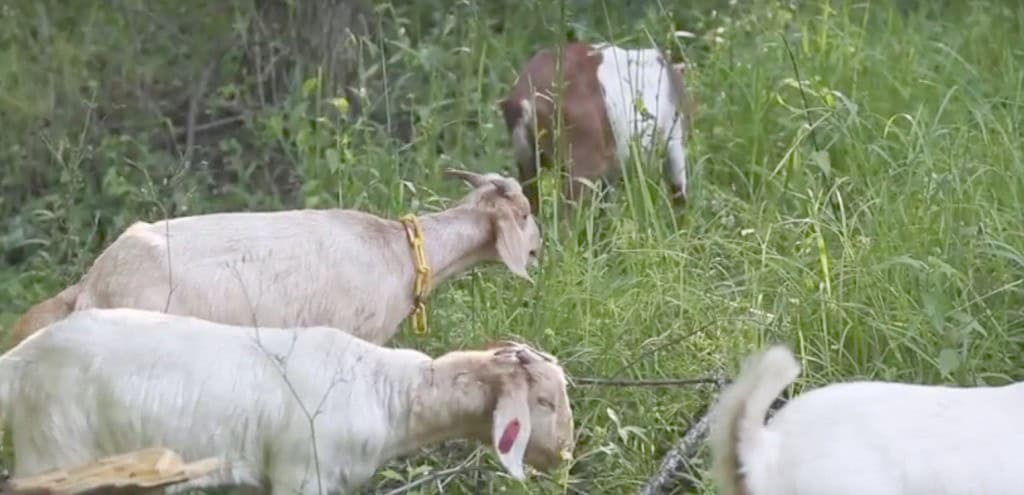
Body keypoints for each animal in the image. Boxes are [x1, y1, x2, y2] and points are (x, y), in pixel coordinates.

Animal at [0, 308, 575, 494]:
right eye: (545, 401)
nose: (569, 452)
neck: (387, 393)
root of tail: (22, 359)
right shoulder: (303, 475)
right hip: (55, 455)